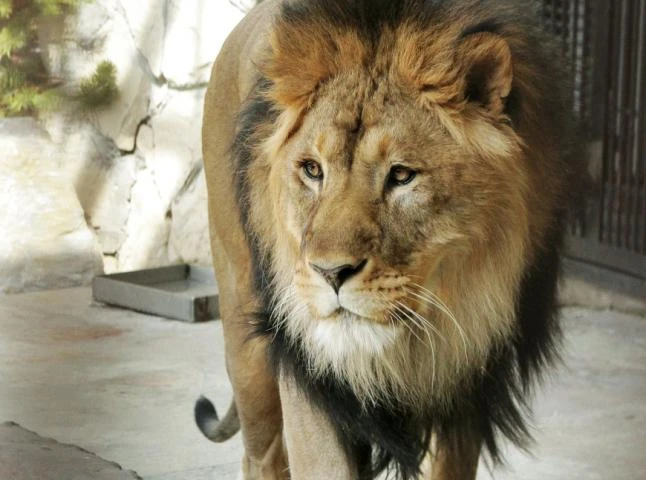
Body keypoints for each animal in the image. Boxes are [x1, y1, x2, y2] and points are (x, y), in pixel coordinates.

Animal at [196, 0, 581, 478]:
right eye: (312, 170)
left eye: (401, 175)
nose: (330, 273)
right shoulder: (306, 367)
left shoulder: (468, 381)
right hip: (246, 345)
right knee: (260, 454)